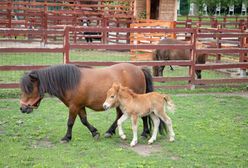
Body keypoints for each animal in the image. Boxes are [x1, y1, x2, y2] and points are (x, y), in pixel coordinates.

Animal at [19, 63, 153, 142]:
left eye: (29, 89)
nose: (22, 108)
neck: (70, 82)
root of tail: (139, 69)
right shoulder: (79, 106)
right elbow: (84, 120)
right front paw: (95, 132)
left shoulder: (73, 106)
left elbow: (70, 122)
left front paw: (66, 137)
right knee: (119, 116)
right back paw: (109, 132)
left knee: (143, 116)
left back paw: (144, 133)